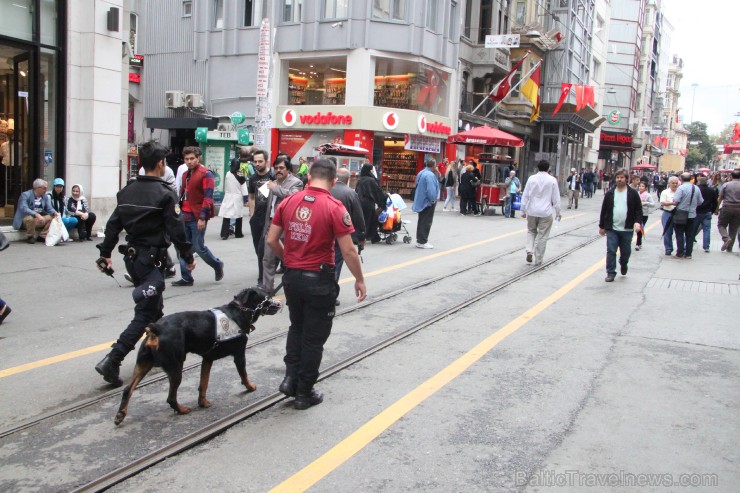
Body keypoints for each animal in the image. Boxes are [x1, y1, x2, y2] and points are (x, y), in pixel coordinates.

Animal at [115, 286, 280, 424]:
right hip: (175, 367)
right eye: (266, 298)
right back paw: (182, 410)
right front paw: (250, 387)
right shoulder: (239, 354)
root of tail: (157, 328)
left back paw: (120, 414)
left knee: (127, 389)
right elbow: (243, 374)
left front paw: (203, 402)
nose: (278, 304)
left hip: (144, 364)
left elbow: (203, 383)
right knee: (170, 398)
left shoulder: (207, 358)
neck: (239, 310)